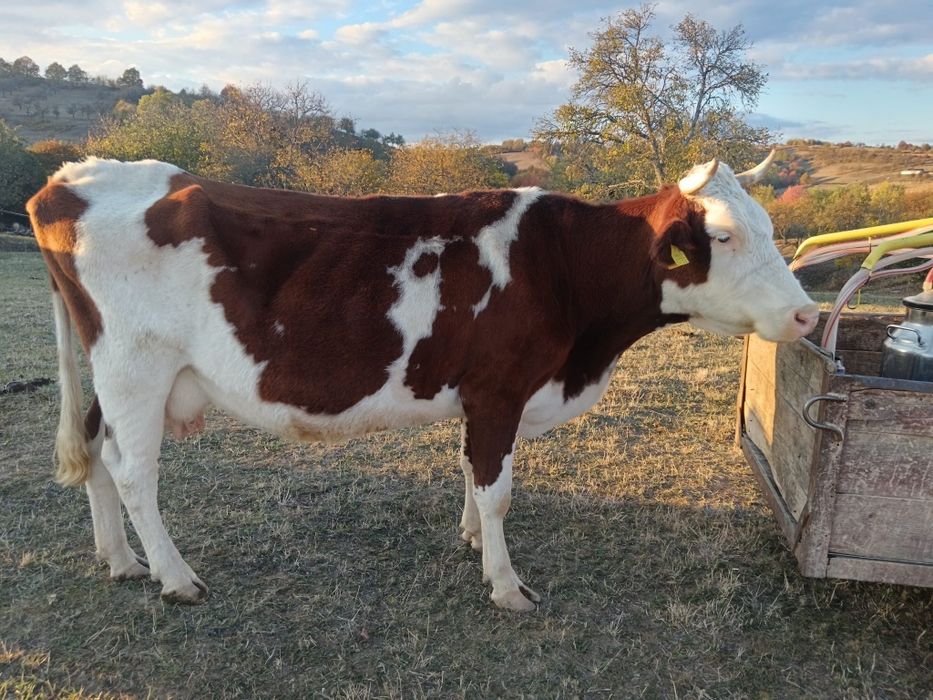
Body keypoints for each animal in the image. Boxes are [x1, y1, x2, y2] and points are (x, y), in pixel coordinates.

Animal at [27, 152, 818, 611]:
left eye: (769, 227)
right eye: (722, 236)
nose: (807, 314)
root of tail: (73, 175)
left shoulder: (481, 395)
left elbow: (473, 472)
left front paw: (470, 539)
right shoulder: (499, 389)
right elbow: (498, 489)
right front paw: (505, 584)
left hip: (113, 371)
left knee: (95, 451)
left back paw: (120, 560)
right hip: (136, 366)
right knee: (134, 471)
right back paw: (174, 576)